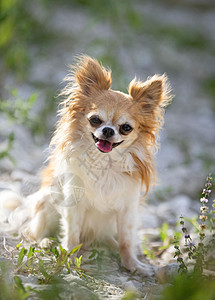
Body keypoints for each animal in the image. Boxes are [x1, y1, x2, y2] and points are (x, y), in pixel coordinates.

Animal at [0, 55, 171, 276]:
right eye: (95, 120)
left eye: (126, 128)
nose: (108, 130)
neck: (104, 162)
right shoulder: (73, 203)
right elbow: (71, 236)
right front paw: (69, 259)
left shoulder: (127, 209)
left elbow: (126, 240)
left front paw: (132, 265)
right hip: (48, 200)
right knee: (33, 232)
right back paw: (46, 241)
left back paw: (111, 244)